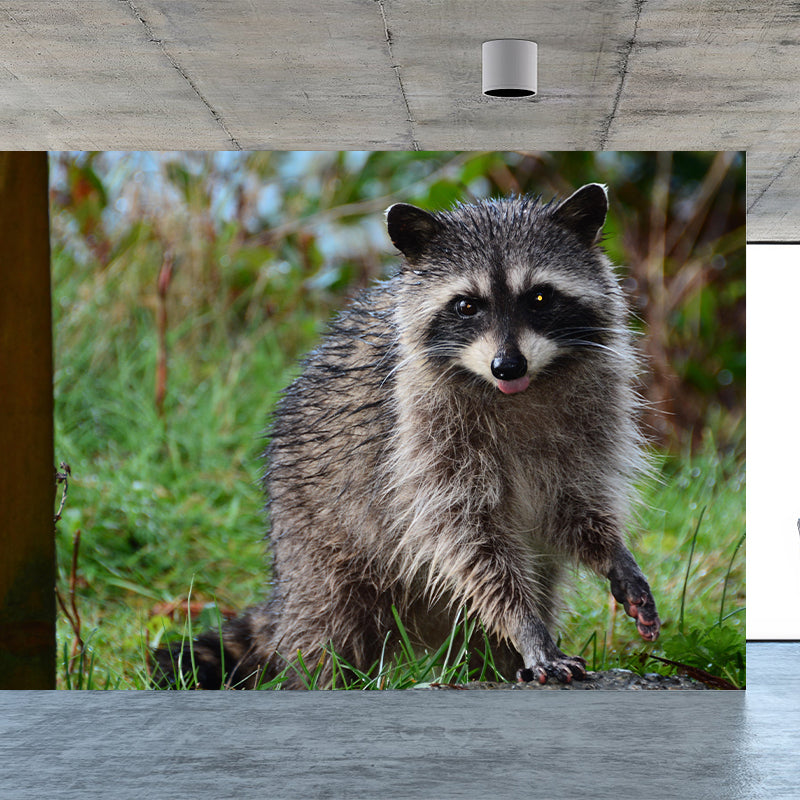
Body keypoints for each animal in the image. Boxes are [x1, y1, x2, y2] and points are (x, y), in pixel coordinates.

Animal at [153, 183, 660, 689]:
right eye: (466, 305)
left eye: (539, 297)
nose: (507, 366)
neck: (518, 391)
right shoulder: (421, 438)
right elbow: (468, 539)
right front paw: (525, 626)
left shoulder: (590, 418)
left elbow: (575, 503)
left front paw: (613, 553)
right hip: (318, 546)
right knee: (326, 629)